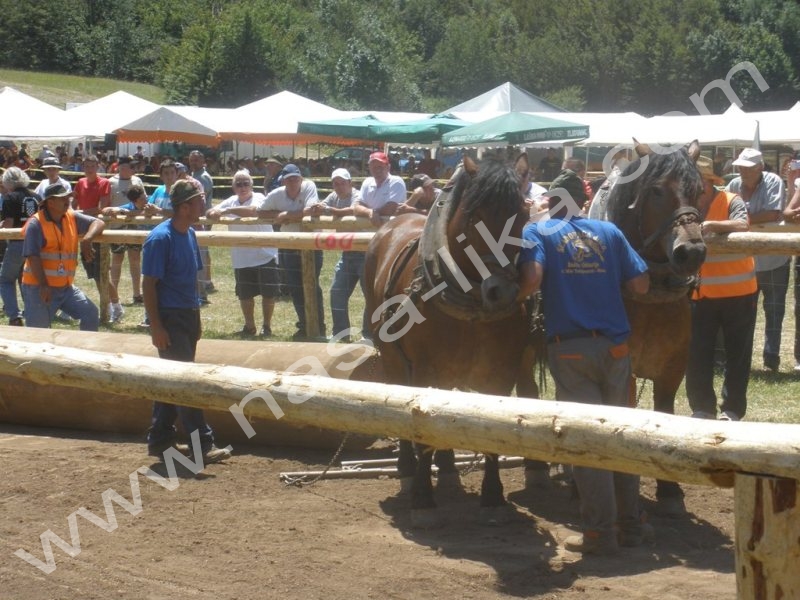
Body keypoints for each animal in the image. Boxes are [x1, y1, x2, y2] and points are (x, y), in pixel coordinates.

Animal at [363, 154, 540, 527]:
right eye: (474, 217)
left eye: (522, 213)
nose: (501, 291)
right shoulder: (426, 369)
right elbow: (420, 425)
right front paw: (422, 499)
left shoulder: (499, 371)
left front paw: (492, 497)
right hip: (393, 358)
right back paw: (406, 467)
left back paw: (445, 466)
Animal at [604, 140, 706, 515]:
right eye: (657, 190)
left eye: (699, 189)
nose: (691, 251)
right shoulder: (622, 366)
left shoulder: (673, 366)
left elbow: (664, 413)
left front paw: (669, 488)